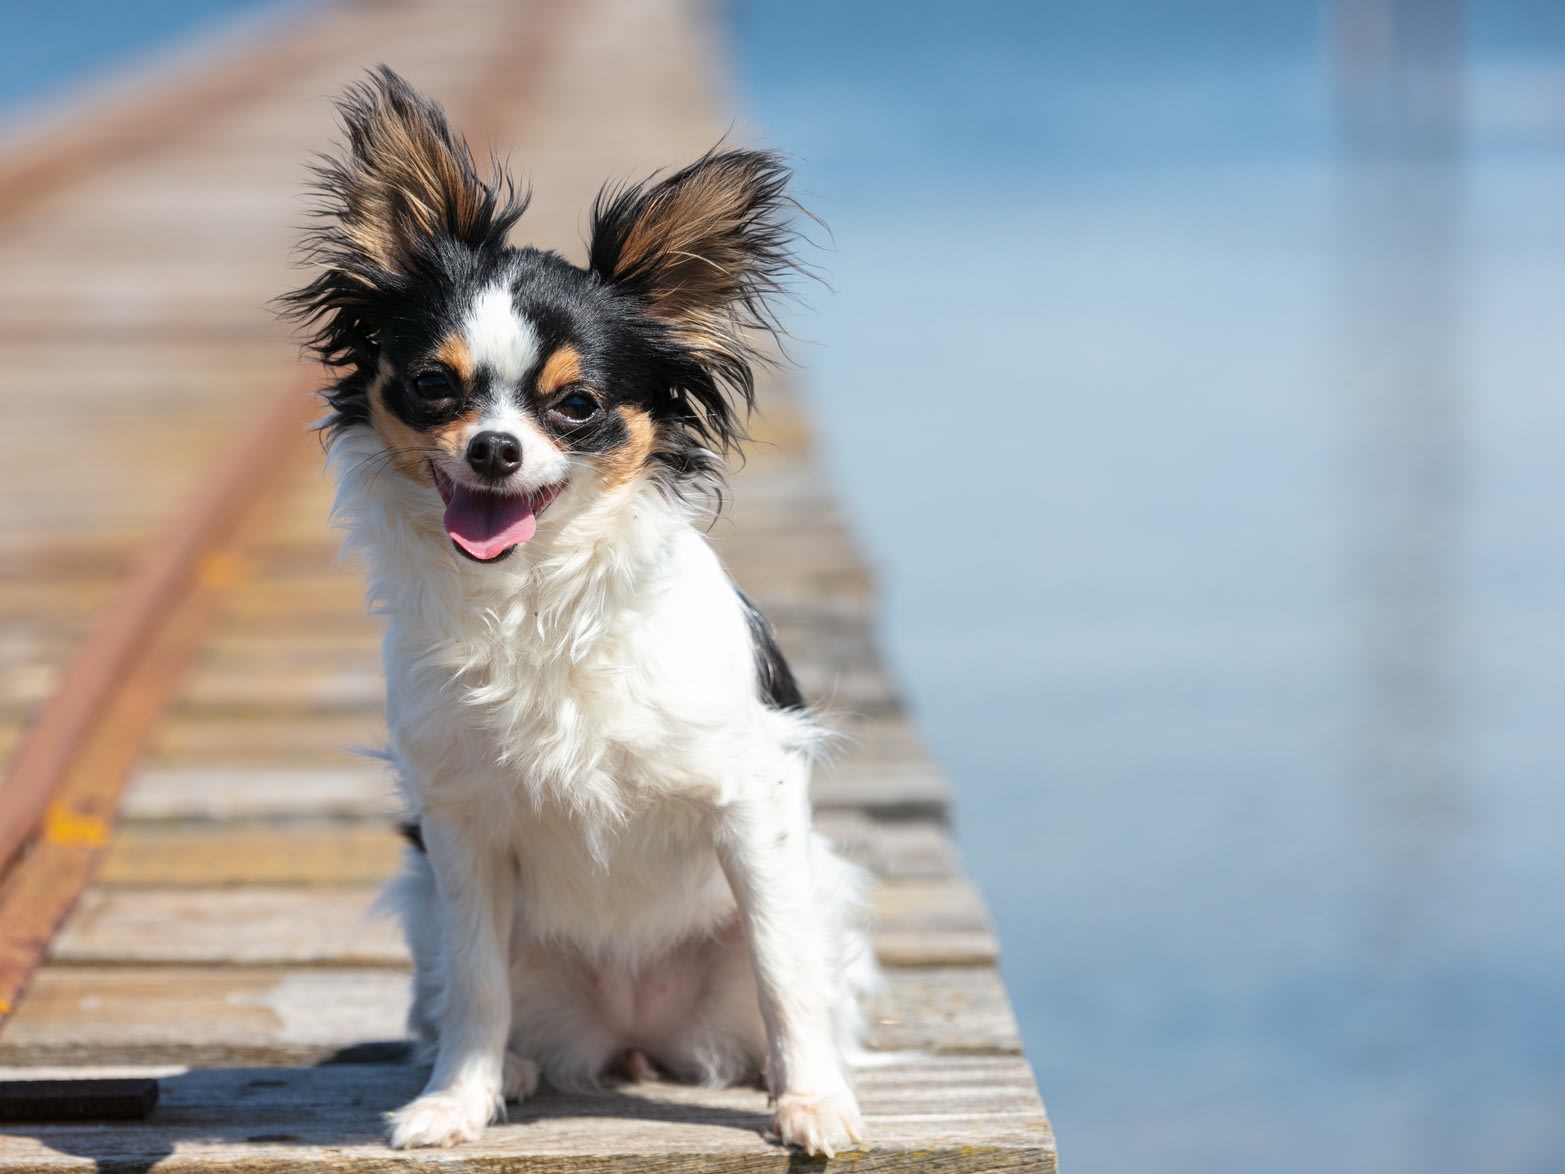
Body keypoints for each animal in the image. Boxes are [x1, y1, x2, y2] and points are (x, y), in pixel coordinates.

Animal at [283, 66, 882, 1158]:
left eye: (577, 406)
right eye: (431, 386)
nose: (494, 449)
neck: (531, 592)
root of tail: (632, 1039)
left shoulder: (752, 797)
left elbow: (785, 974)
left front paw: (813, 1104)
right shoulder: (461, 832)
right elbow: (476, 985)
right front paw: (456, 1100)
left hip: (808, 891)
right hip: (439, 908)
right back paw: (513, 1072)